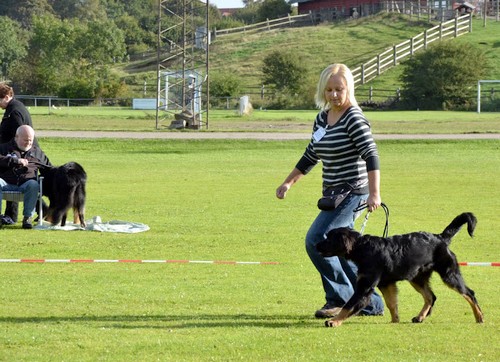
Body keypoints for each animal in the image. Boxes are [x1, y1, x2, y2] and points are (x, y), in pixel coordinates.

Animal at [316, 212, 484, 328]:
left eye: (329, 239)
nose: (316, 245)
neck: (363, 248)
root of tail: (441, 237)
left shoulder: (365, 287)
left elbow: (348, 305)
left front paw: (334, 321)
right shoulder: (386, 283)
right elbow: (392, 304)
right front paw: (395, 320)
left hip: (449, 274)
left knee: (469, 293)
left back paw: (479, 317)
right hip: (417, 277)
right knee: (431, 296)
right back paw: (420, 317)